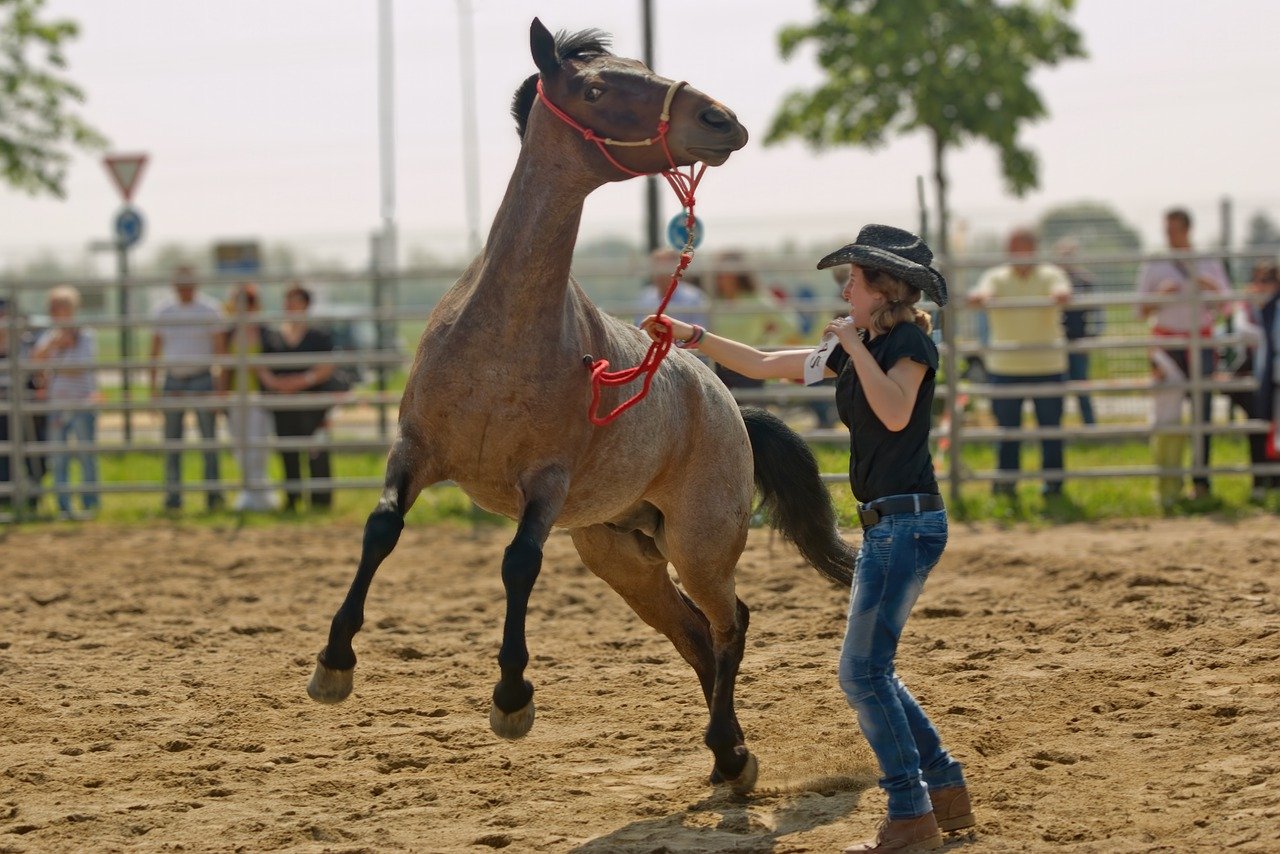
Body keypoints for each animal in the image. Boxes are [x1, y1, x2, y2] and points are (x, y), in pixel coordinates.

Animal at [304, 18, 855, 793]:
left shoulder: (547, 483)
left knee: (730, 624)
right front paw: (333, 664)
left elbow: (518, 564)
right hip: (620, 553)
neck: (502, 339)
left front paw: (511, 699)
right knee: (694, 634)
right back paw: (729, 755)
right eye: (597, 88)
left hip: (700, 544)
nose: (722, 121)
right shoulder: (414, 450)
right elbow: (381, 529)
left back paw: (730, 749)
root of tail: (727, 406)